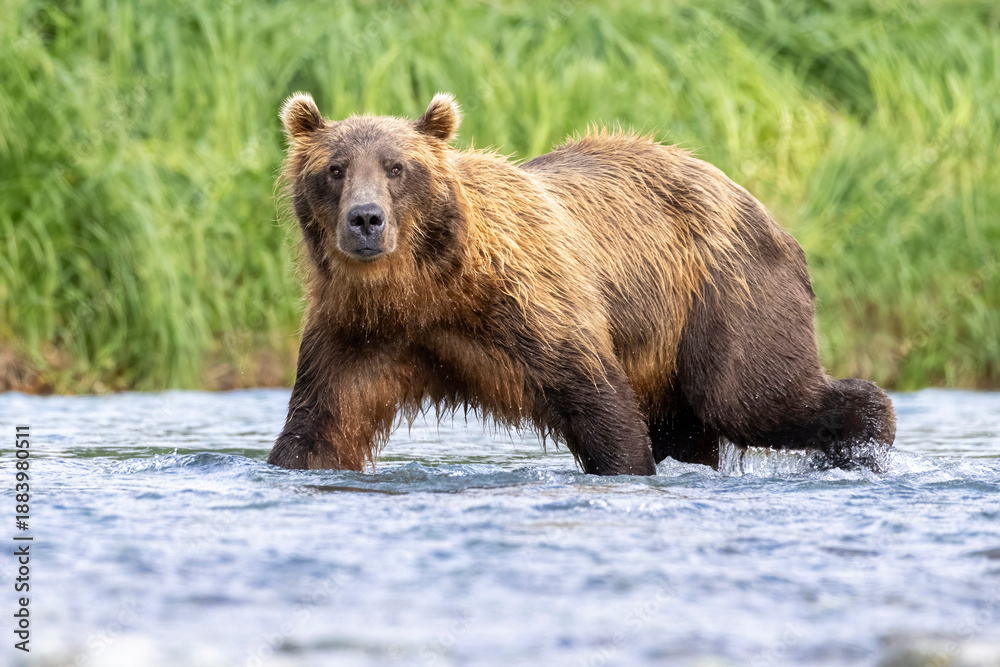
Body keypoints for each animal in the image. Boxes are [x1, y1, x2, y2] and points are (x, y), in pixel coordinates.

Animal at [267, 92, 896, 475]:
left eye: (397, 167)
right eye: (335, 169)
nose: (365, 219)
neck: (423, 287)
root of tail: (755, 203)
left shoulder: (530, 301)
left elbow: (598, 399)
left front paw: (627, 467)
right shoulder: (358, 331)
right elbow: (321, 424)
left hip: (728, 290)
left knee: (749, 395)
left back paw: (866, 442)